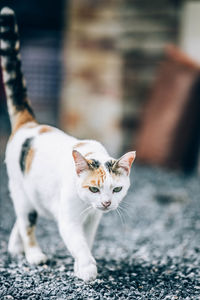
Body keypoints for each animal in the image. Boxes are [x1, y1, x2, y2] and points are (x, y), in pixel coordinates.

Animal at [0, 7, 136, 282]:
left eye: (117, 189)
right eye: (93, 188)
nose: (107, 203)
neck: (88, 206)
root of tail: (30, 123)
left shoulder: (93, 219)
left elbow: (87, 240)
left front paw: (80, 265)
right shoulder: (69, 218)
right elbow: (78, 242)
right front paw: (86, 268)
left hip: (33, 194)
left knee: (21, 218)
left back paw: (16, 247)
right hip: (20, 190)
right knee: (26, 220)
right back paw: (33, 254)